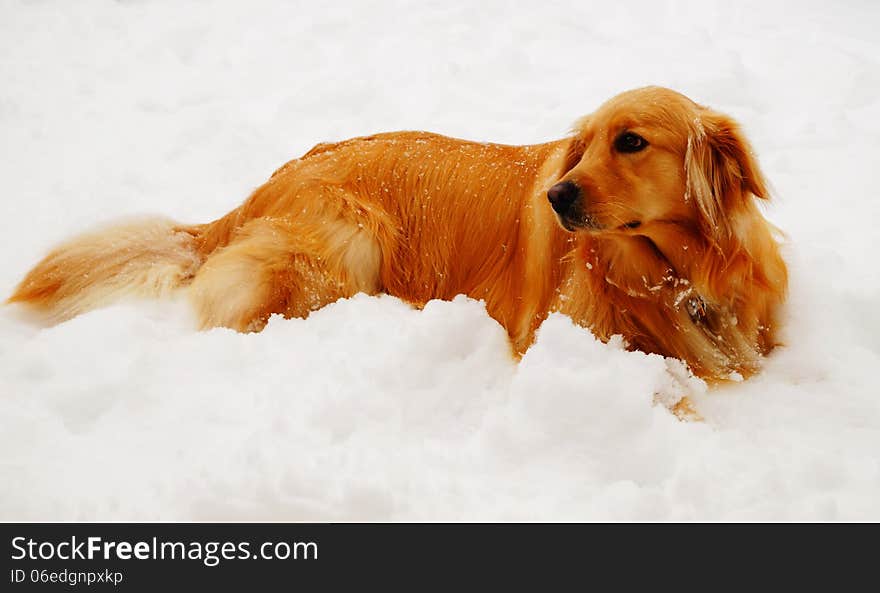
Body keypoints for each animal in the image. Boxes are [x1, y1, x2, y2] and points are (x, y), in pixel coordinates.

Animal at [10, 88, 788, 382]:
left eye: (629, 142)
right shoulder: (561, 337)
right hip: (349, 243)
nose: (557, 194)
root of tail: (270, 179)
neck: (676, 274)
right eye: (582, 146)